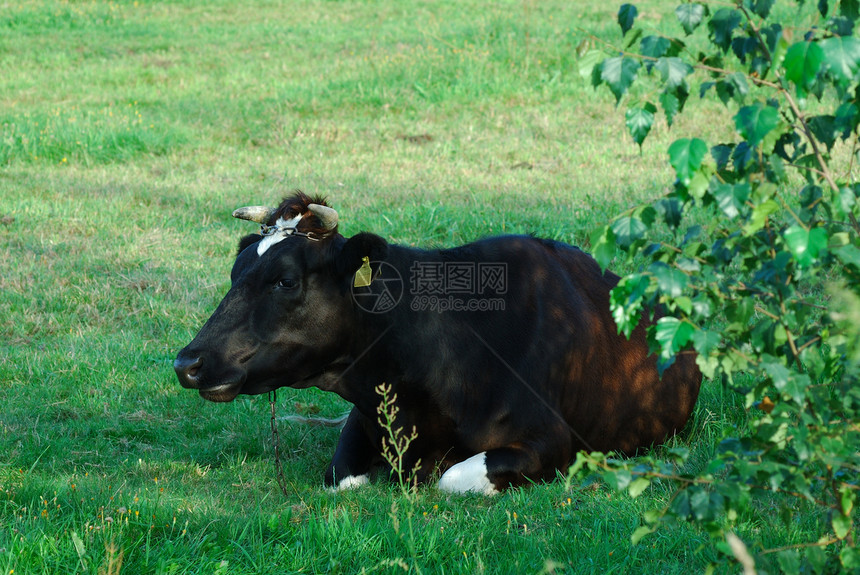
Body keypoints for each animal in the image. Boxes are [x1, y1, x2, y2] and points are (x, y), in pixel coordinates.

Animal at [173, 194, 700, 496]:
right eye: (235, 271)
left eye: (285, 280)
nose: (187, 362)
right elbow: (340, 477)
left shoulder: (551, 440)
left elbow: (450, 479)